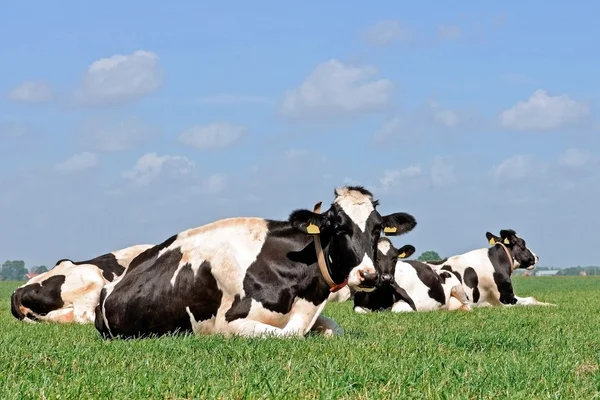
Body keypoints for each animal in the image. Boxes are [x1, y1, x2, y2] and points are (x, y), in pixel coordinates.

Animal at [96, 186, 420, 340]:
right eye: (338, 227)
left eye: (377, 229)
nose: (368, 276)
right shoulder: (228, 323)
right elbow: (290, 334)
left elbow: (333, 329)